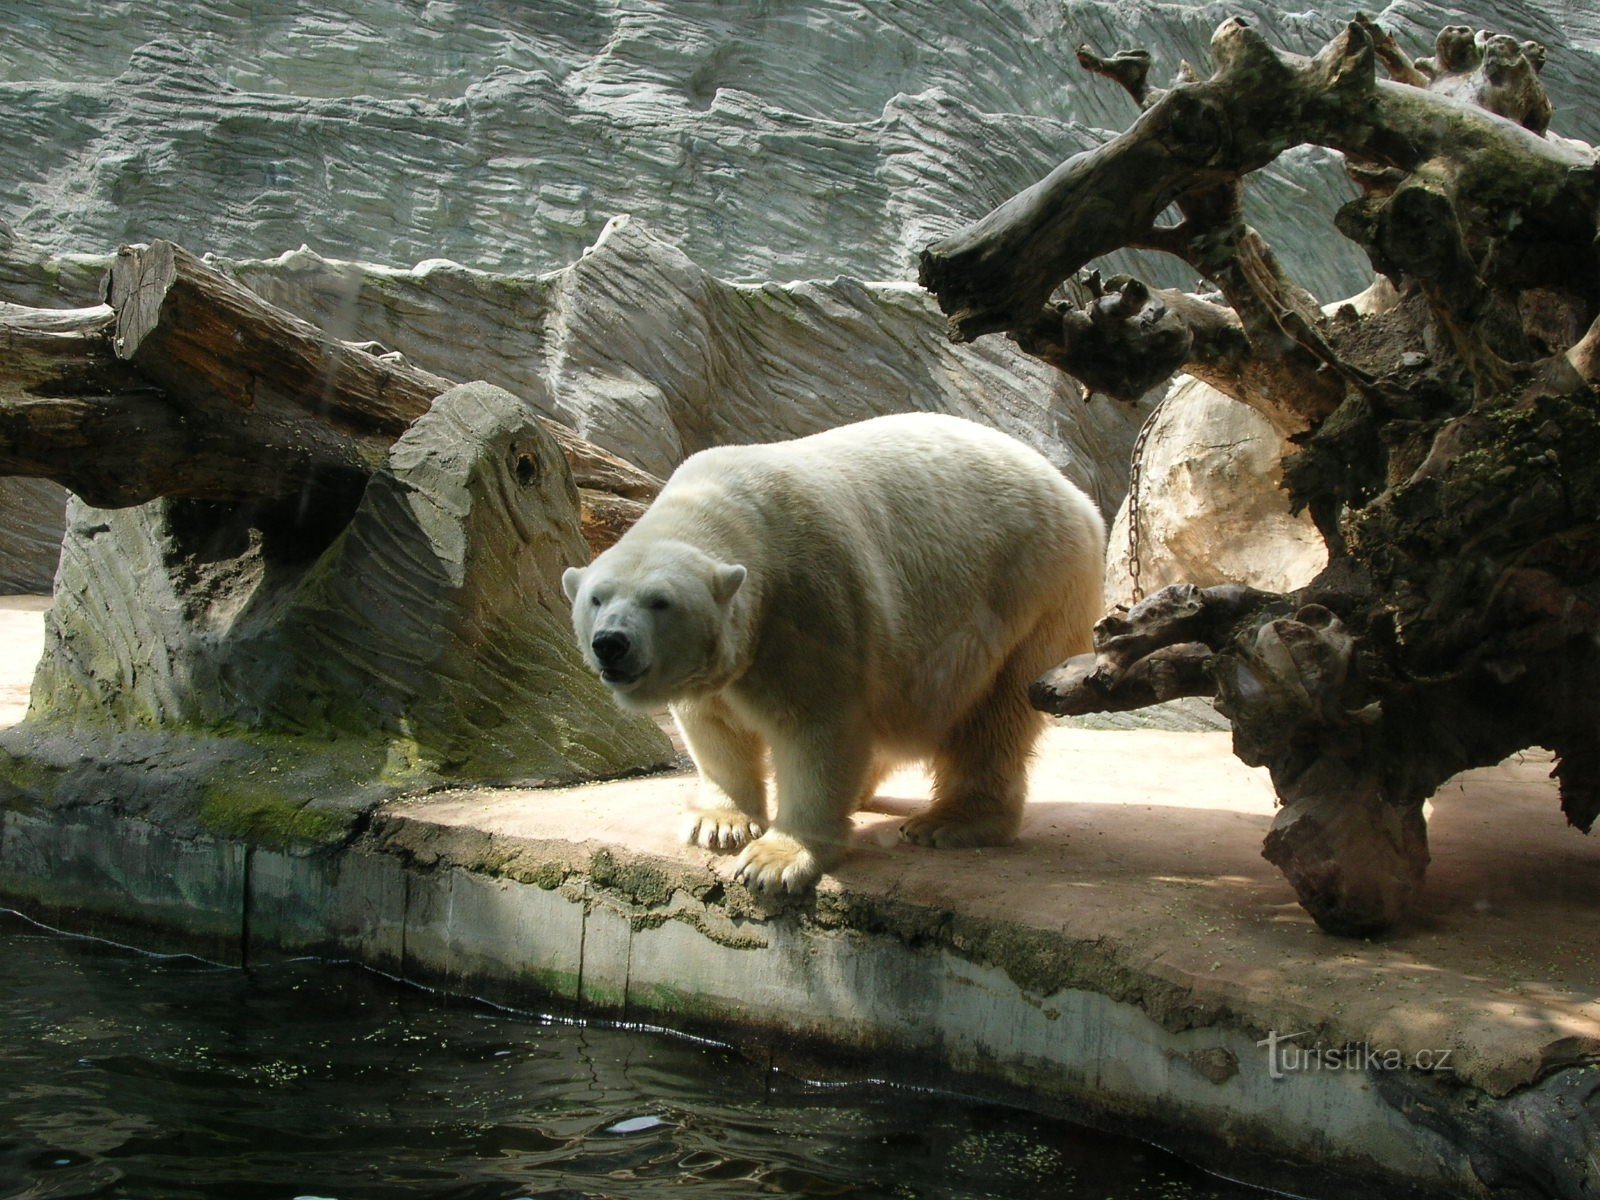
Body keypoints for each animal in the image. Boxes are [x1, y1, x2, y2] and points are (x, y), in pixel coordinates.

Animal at [569, 412, 1107, 896]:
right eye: (597, 597)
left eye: (660, 601)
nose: (611, 643)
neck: (729, 506)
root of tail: (1081, 502)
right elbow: (714, 726)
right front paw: (719, 825)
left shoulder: (806, 601)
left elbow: (816, 728)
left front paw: (774, 862)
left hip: (1031, 589)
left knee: (995, 715)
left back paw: (949, 822)